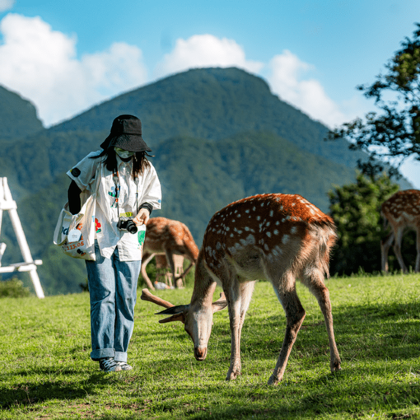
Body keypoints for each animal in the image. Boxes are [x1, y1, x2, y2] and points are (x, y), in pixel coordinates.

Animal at [141, 193, 342, 384]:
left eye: (187, 327)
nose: (199, 354)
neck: (206, 262)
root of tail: (321, 224)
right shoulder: (247, 279)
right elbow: (242, 316)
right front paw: (237, 369)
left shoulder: (225, 271)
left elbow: (233, 318)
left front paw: (231, 372)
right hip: (311, 266)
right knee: (324, 295)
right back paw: (335, 364)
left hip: (278, 264)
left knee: (296, 311)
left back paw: (275, 376)